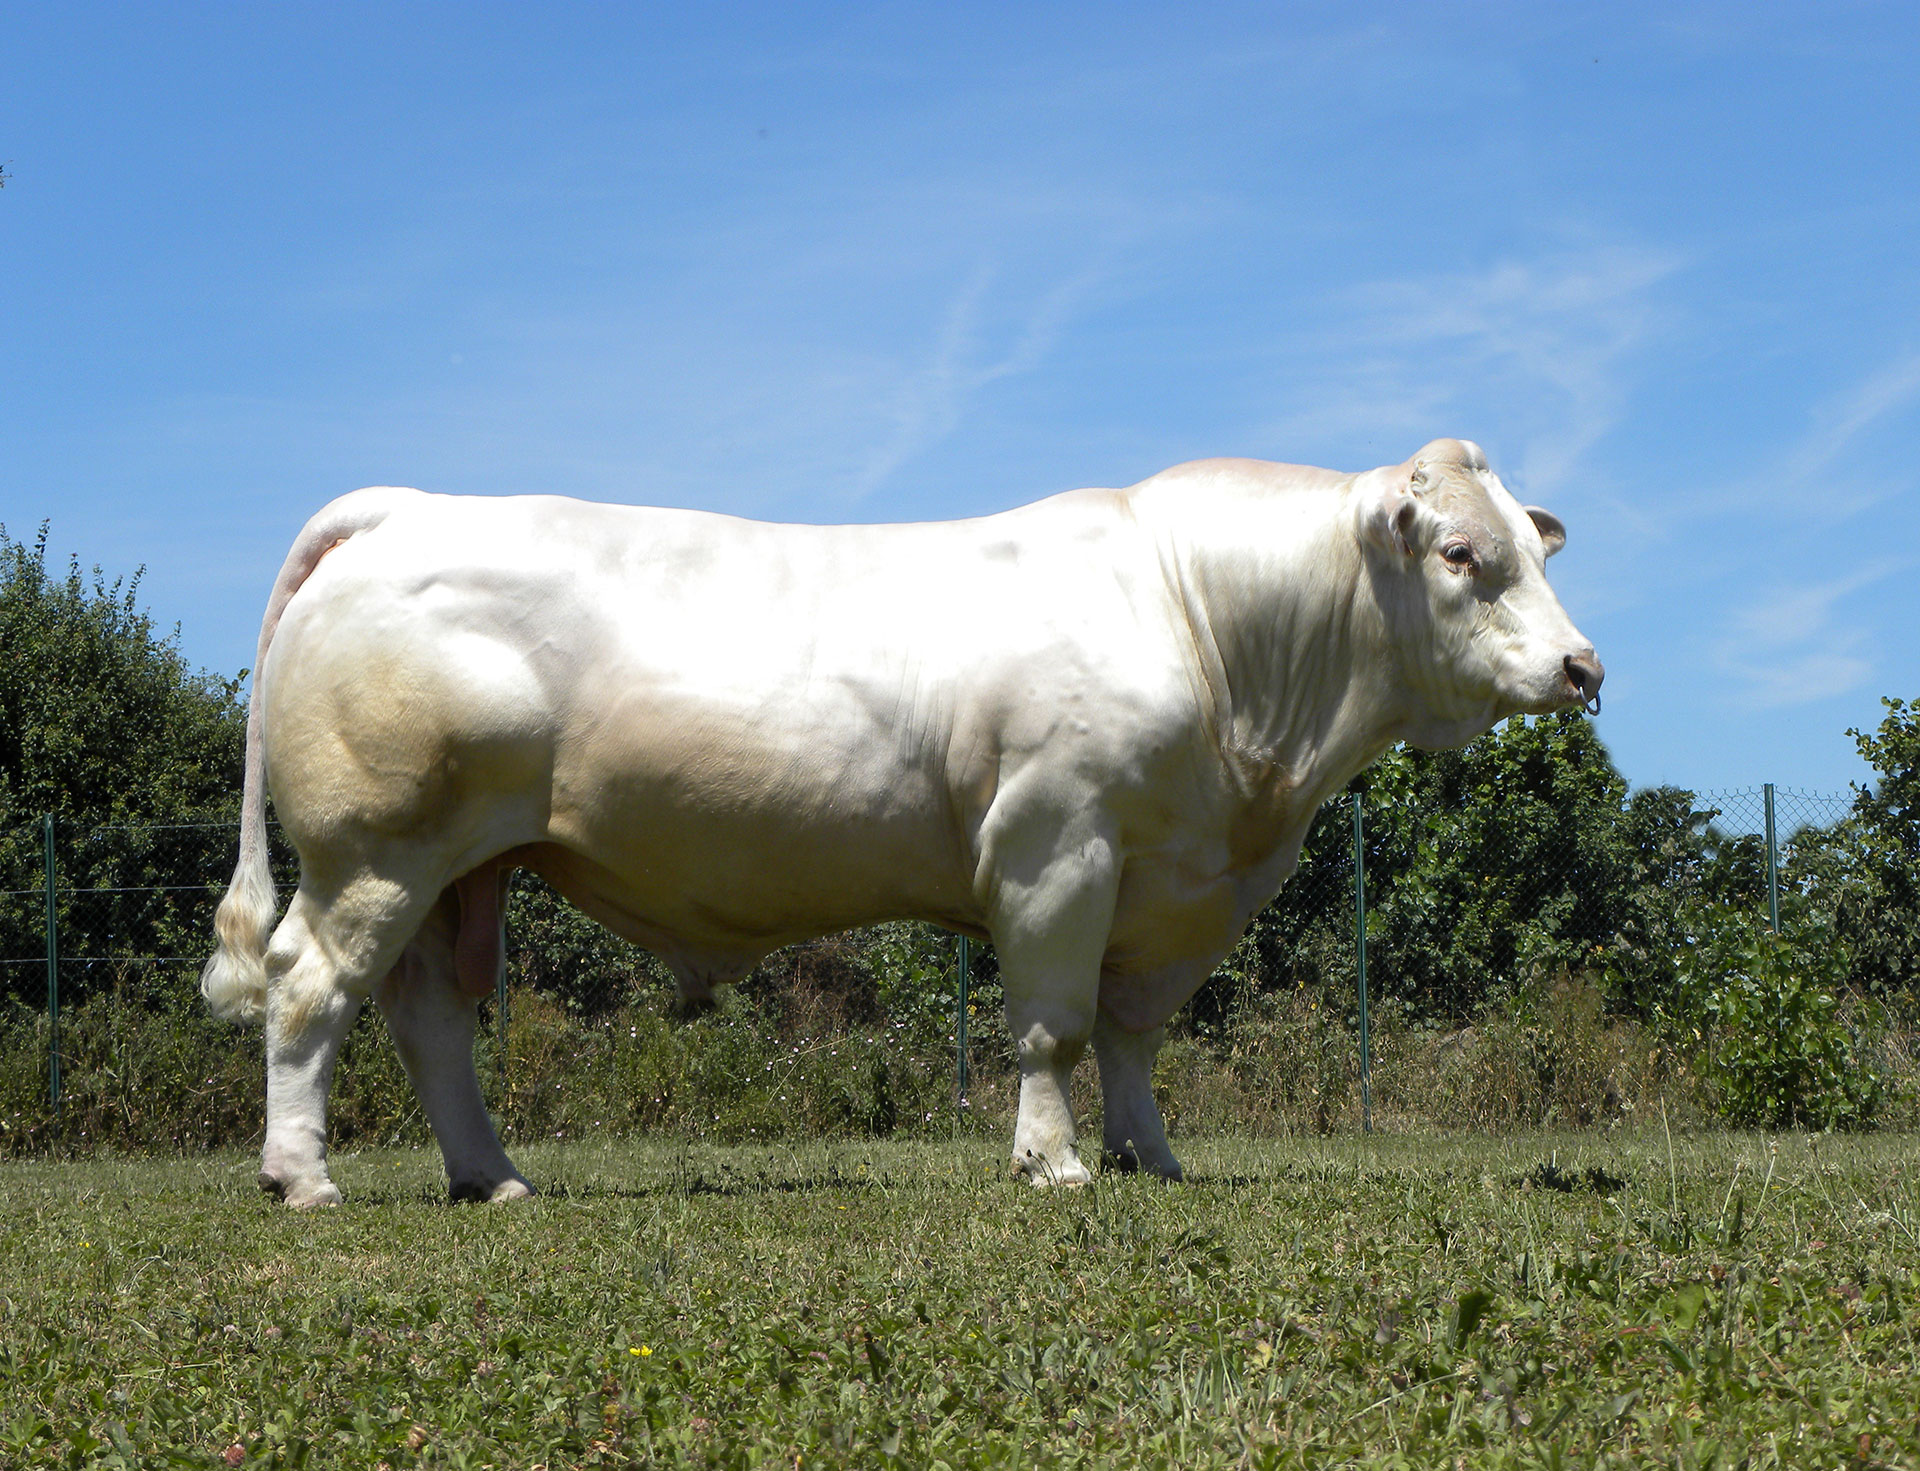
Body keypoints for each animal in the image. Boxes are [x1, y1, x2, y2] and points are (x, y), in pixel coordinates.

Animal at [202, 437, 1597, 1213]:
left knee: (429, 1016)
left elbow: (1133, 1035)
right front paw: (1054, 1165)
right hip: (376, 850)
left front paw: (1150, 1156)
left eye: (1538, 551)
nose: (1584, 666)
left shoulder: (1173, 884)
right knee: (309, 987)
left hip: (460, 868)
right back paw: (303, 1177)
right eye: (1463, 555)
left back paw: (490, 1175)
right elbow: (1053, 1026)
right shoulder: (1056, 842)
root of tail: (404, 506)